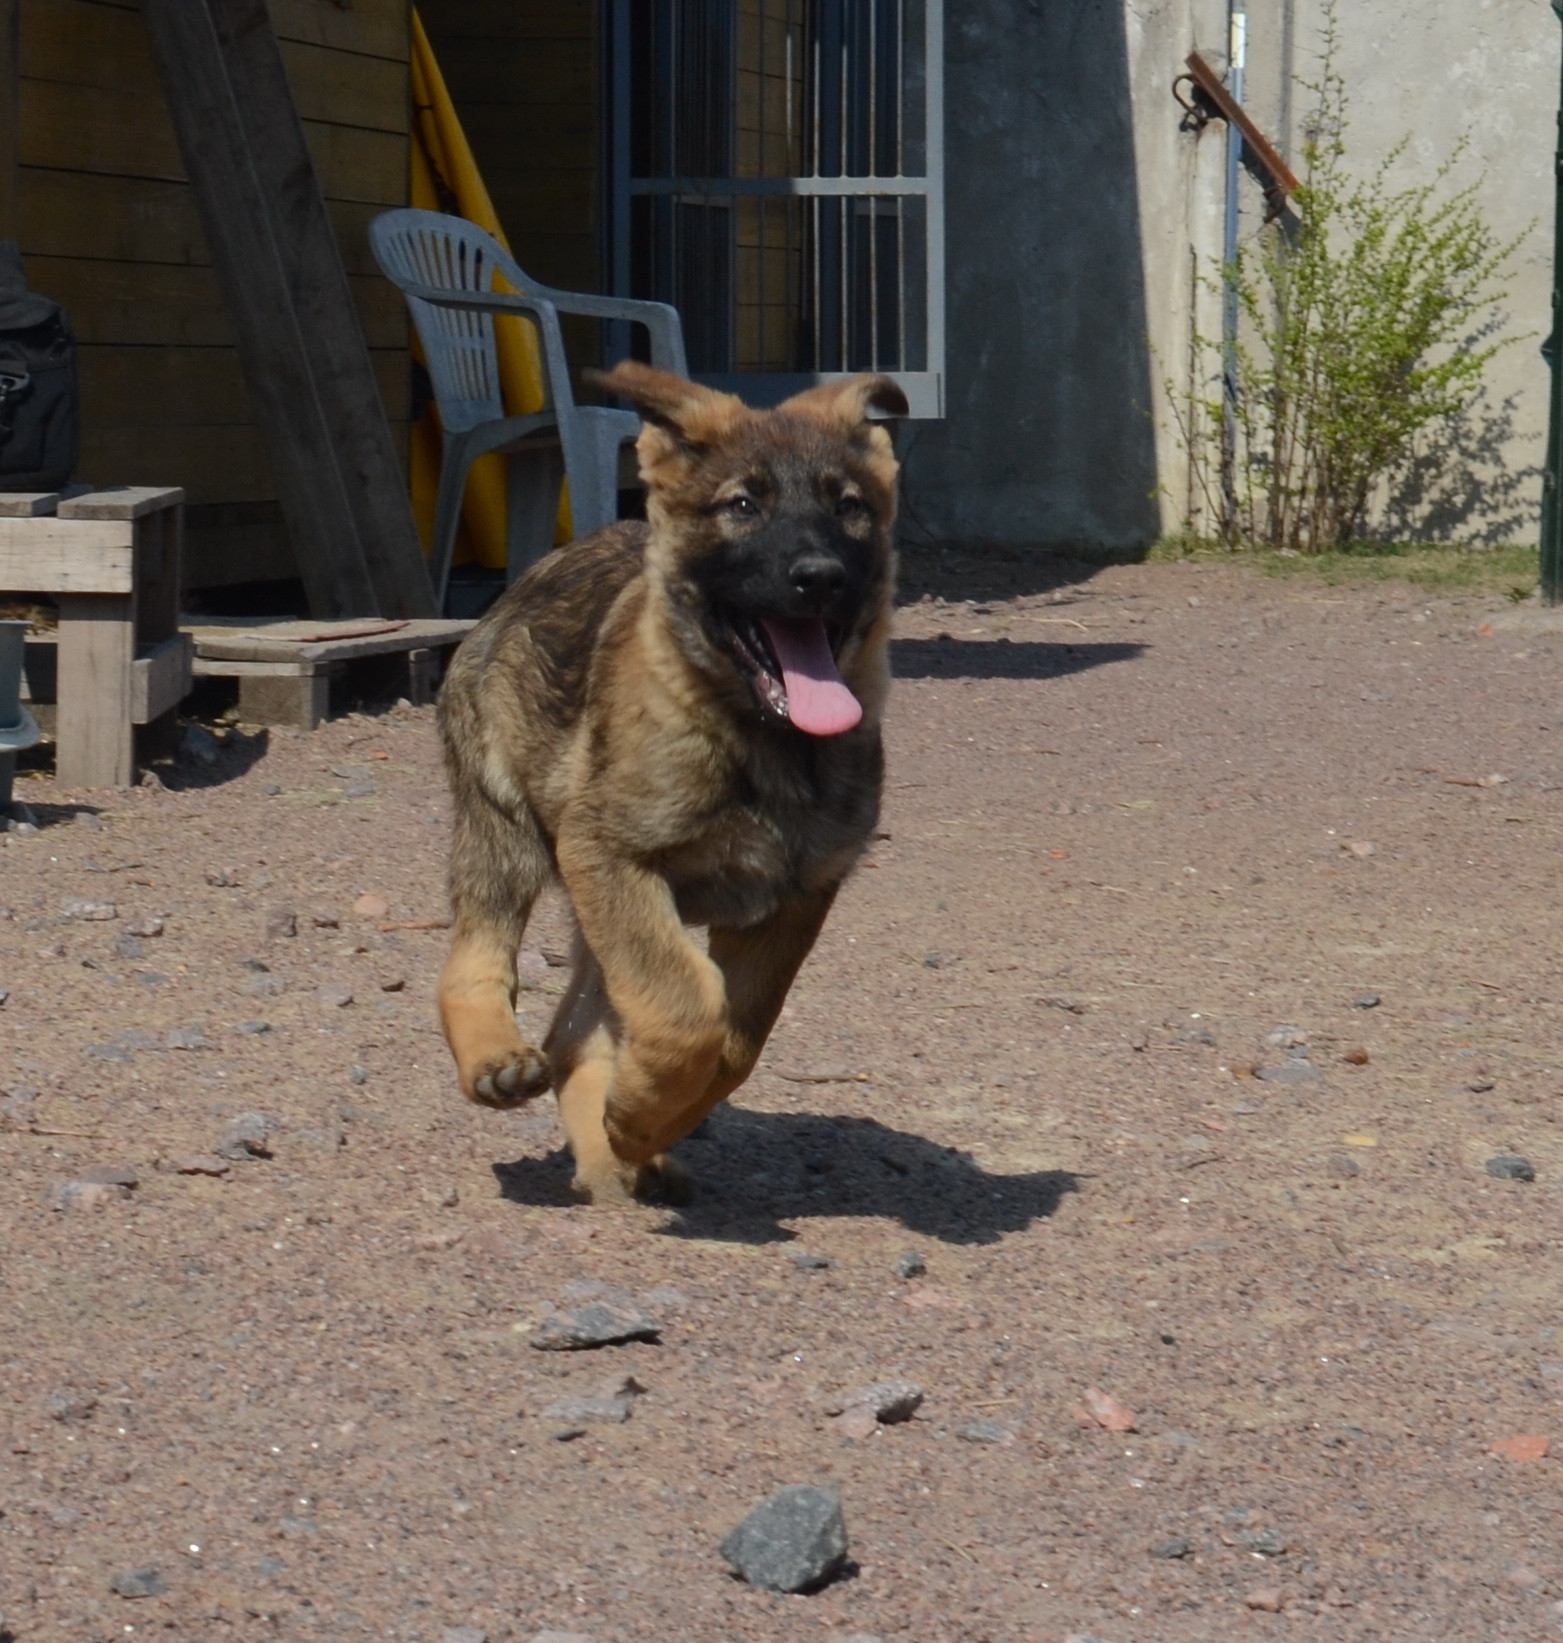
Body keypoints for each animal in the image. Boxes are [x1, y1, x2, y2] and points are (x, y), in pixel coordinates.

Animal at [437, 363, 907, 1209]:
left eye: (848, 507)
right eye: (742, 505)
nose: (819, 577)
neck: (760, 742)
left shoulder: (792, 897)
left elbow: (736, 1041)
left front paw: (639, 1119)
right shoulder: (612, 854)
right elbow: (689, 1008)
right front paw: (641, 1110)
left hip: (595, 900)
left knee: (573, 1035)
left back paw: (611, 1150)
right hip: (509, 827)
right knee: (475, 953)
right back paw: (494, 1057)